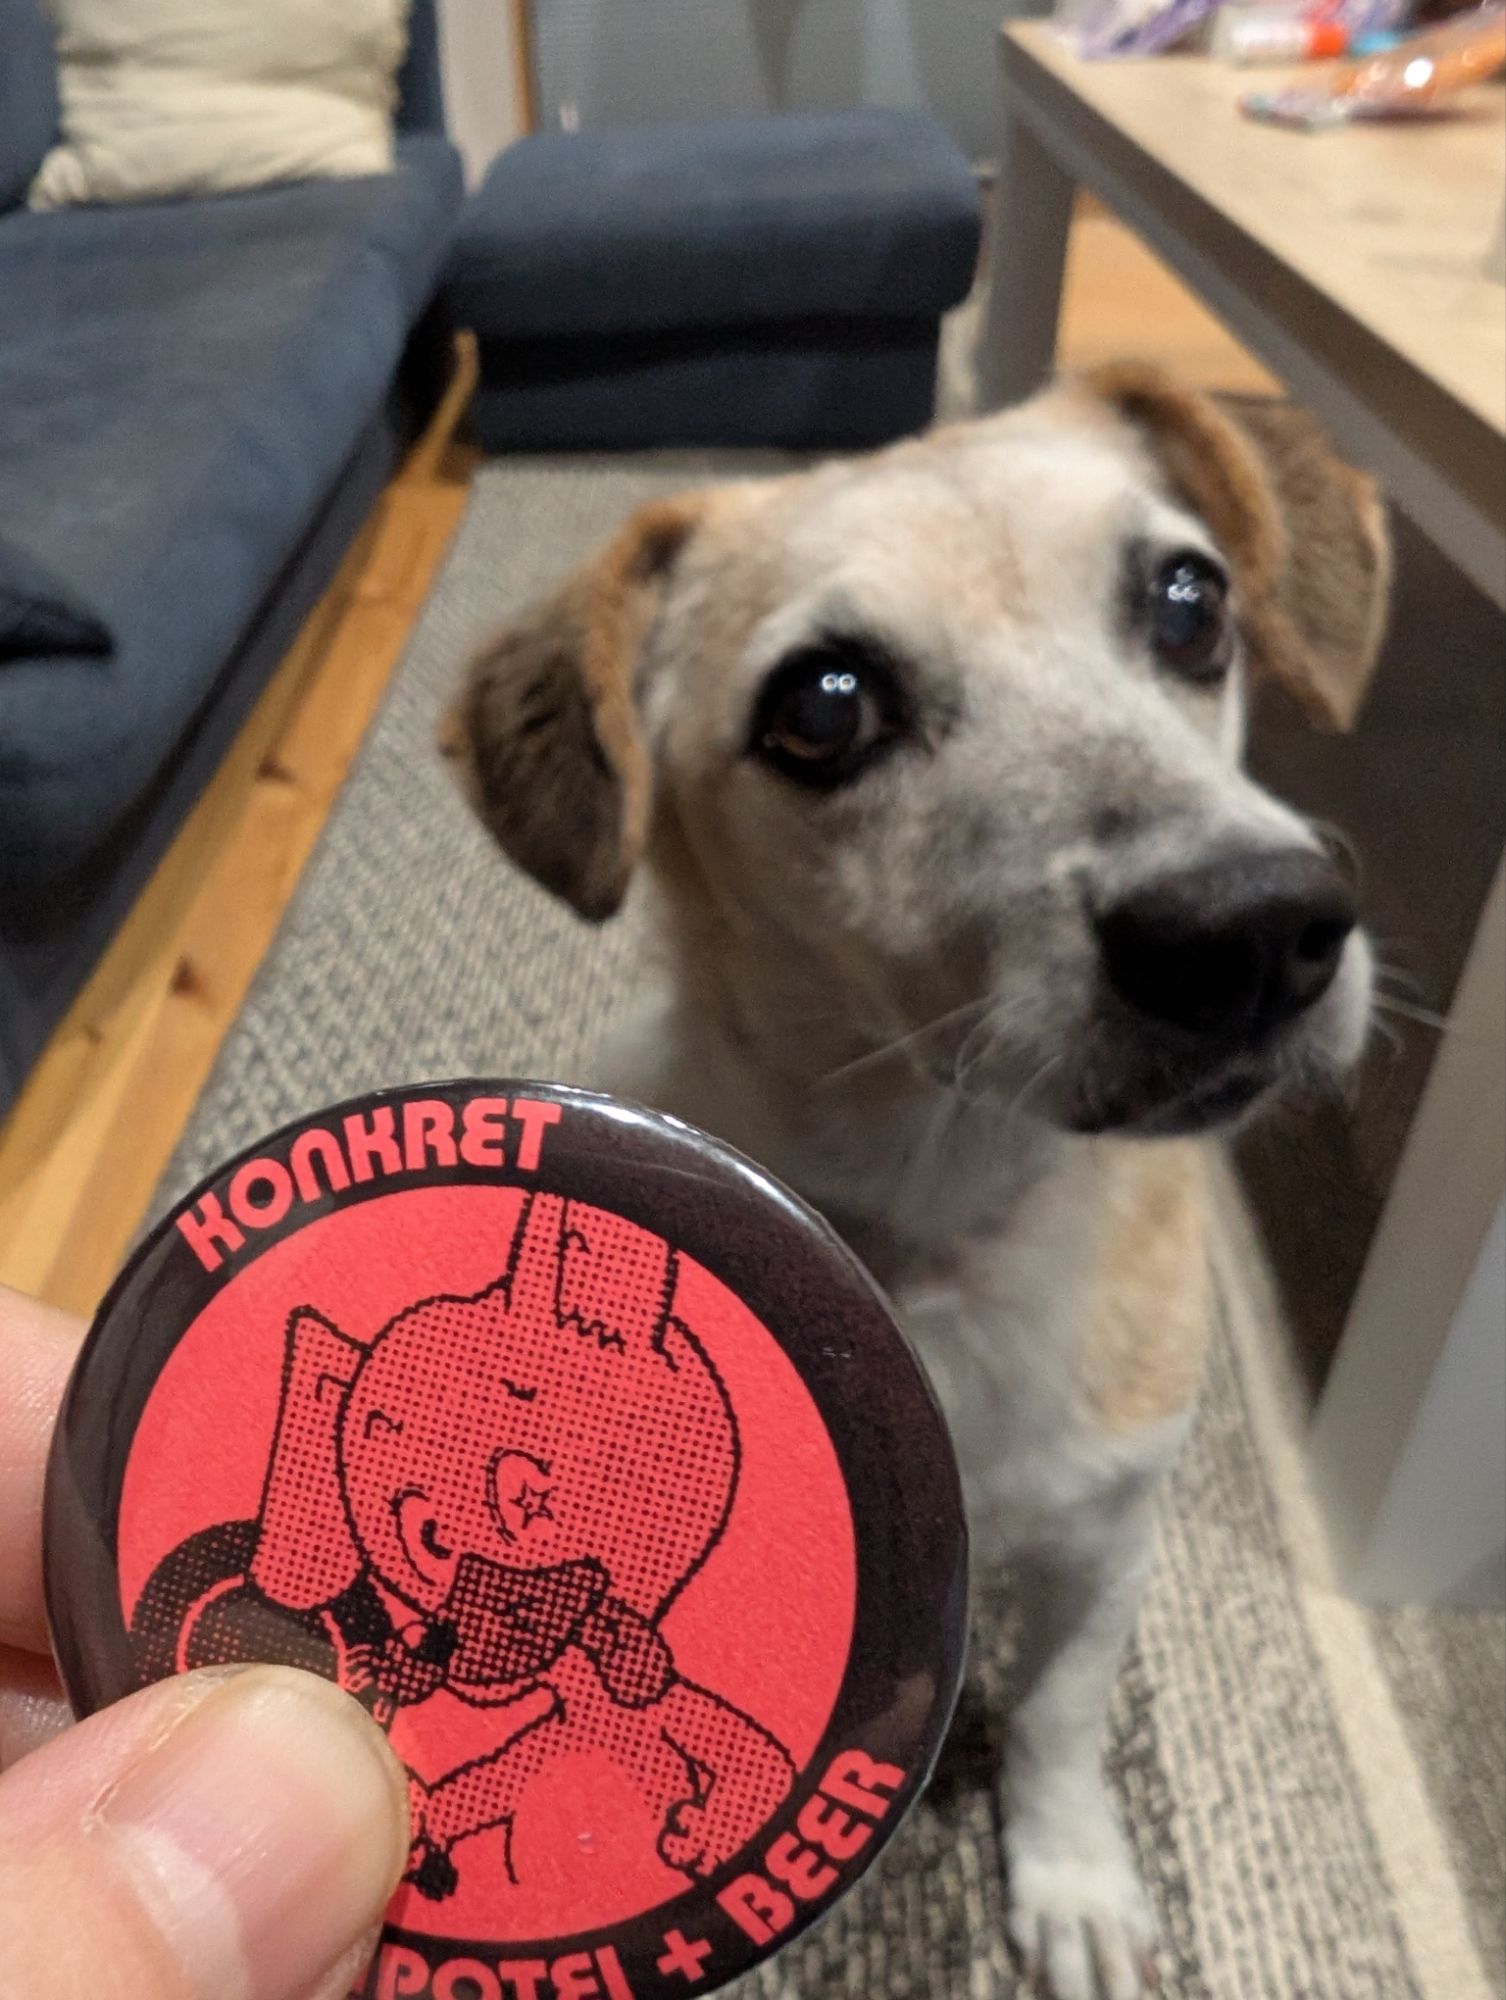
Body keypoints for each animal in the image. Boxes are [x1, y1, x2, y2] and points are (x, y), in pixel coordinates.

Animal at [443, 363, 1389, 2000]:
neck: (946, 1210)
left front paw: (1074, 1883)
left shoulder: (1105, 1538)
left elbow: (1064, 1719)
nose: (1255, 929)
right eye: (824, 706)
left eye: (1189, 601)